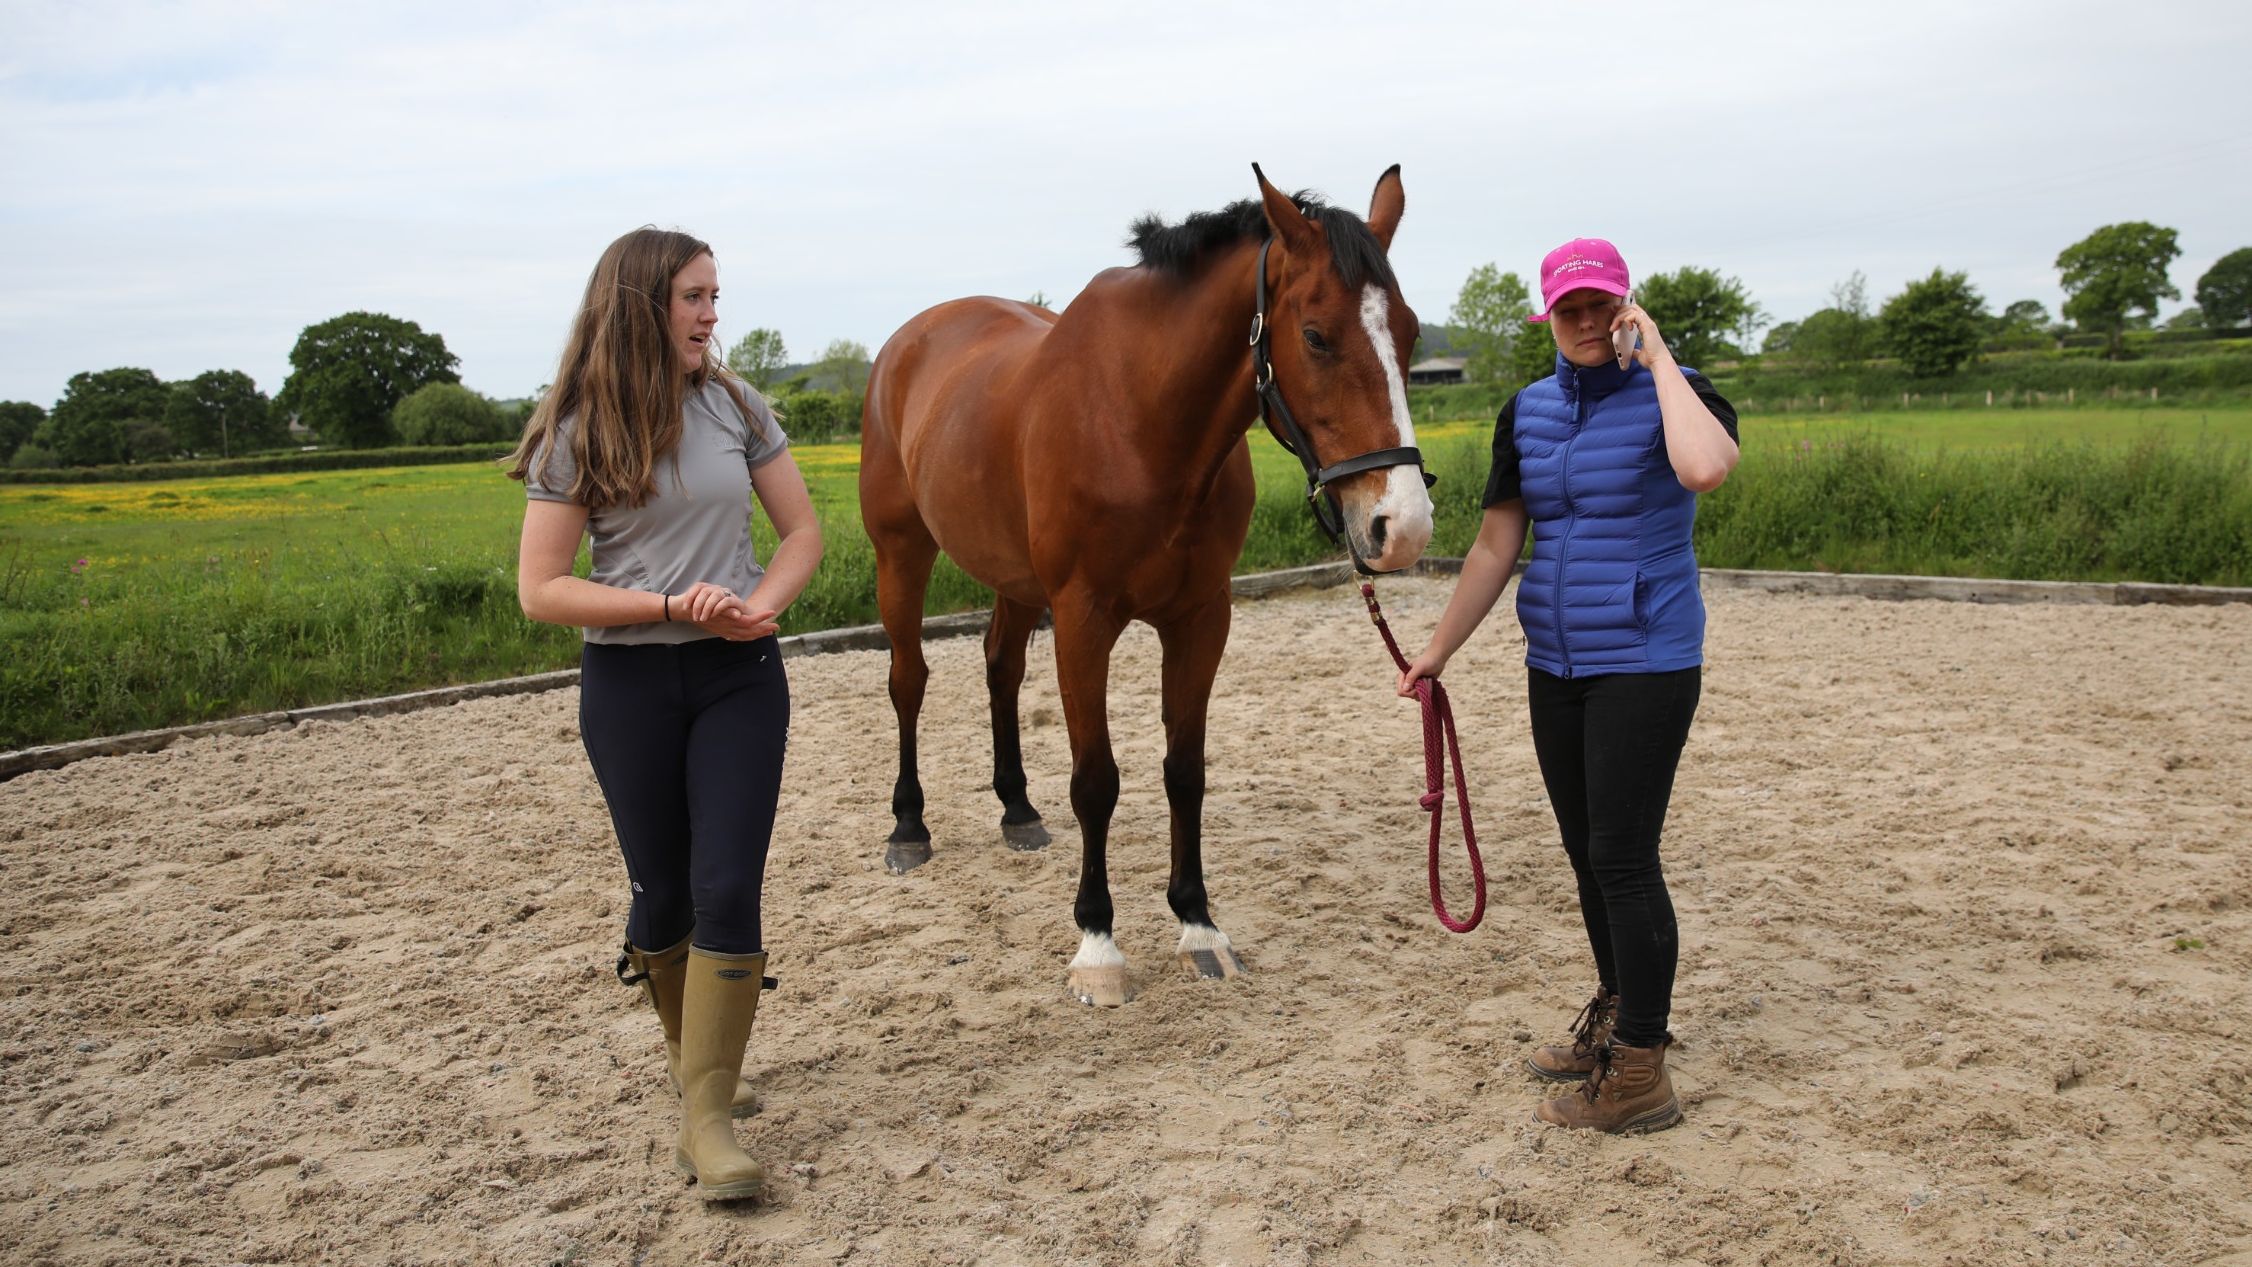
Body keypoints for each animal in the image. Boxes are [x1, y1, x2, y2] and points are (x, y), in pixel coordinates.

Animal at [858, 165, 1433, 1004]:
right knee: (908, 679)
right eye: (1316, 335)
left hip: (1012, 578)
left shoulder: (1201, 617)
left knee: (1000, 668)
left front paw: (1199, 925)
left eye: (1411, 332)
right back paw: (908, 827)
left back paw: (1017, 808)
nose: (1403, 525)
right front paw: (1098, 945)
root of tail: (908, 343)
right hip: (901, 554)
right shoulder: (1082, 619)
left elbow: (1184, 771)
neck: (1140, 419)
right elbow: (1096, 779)